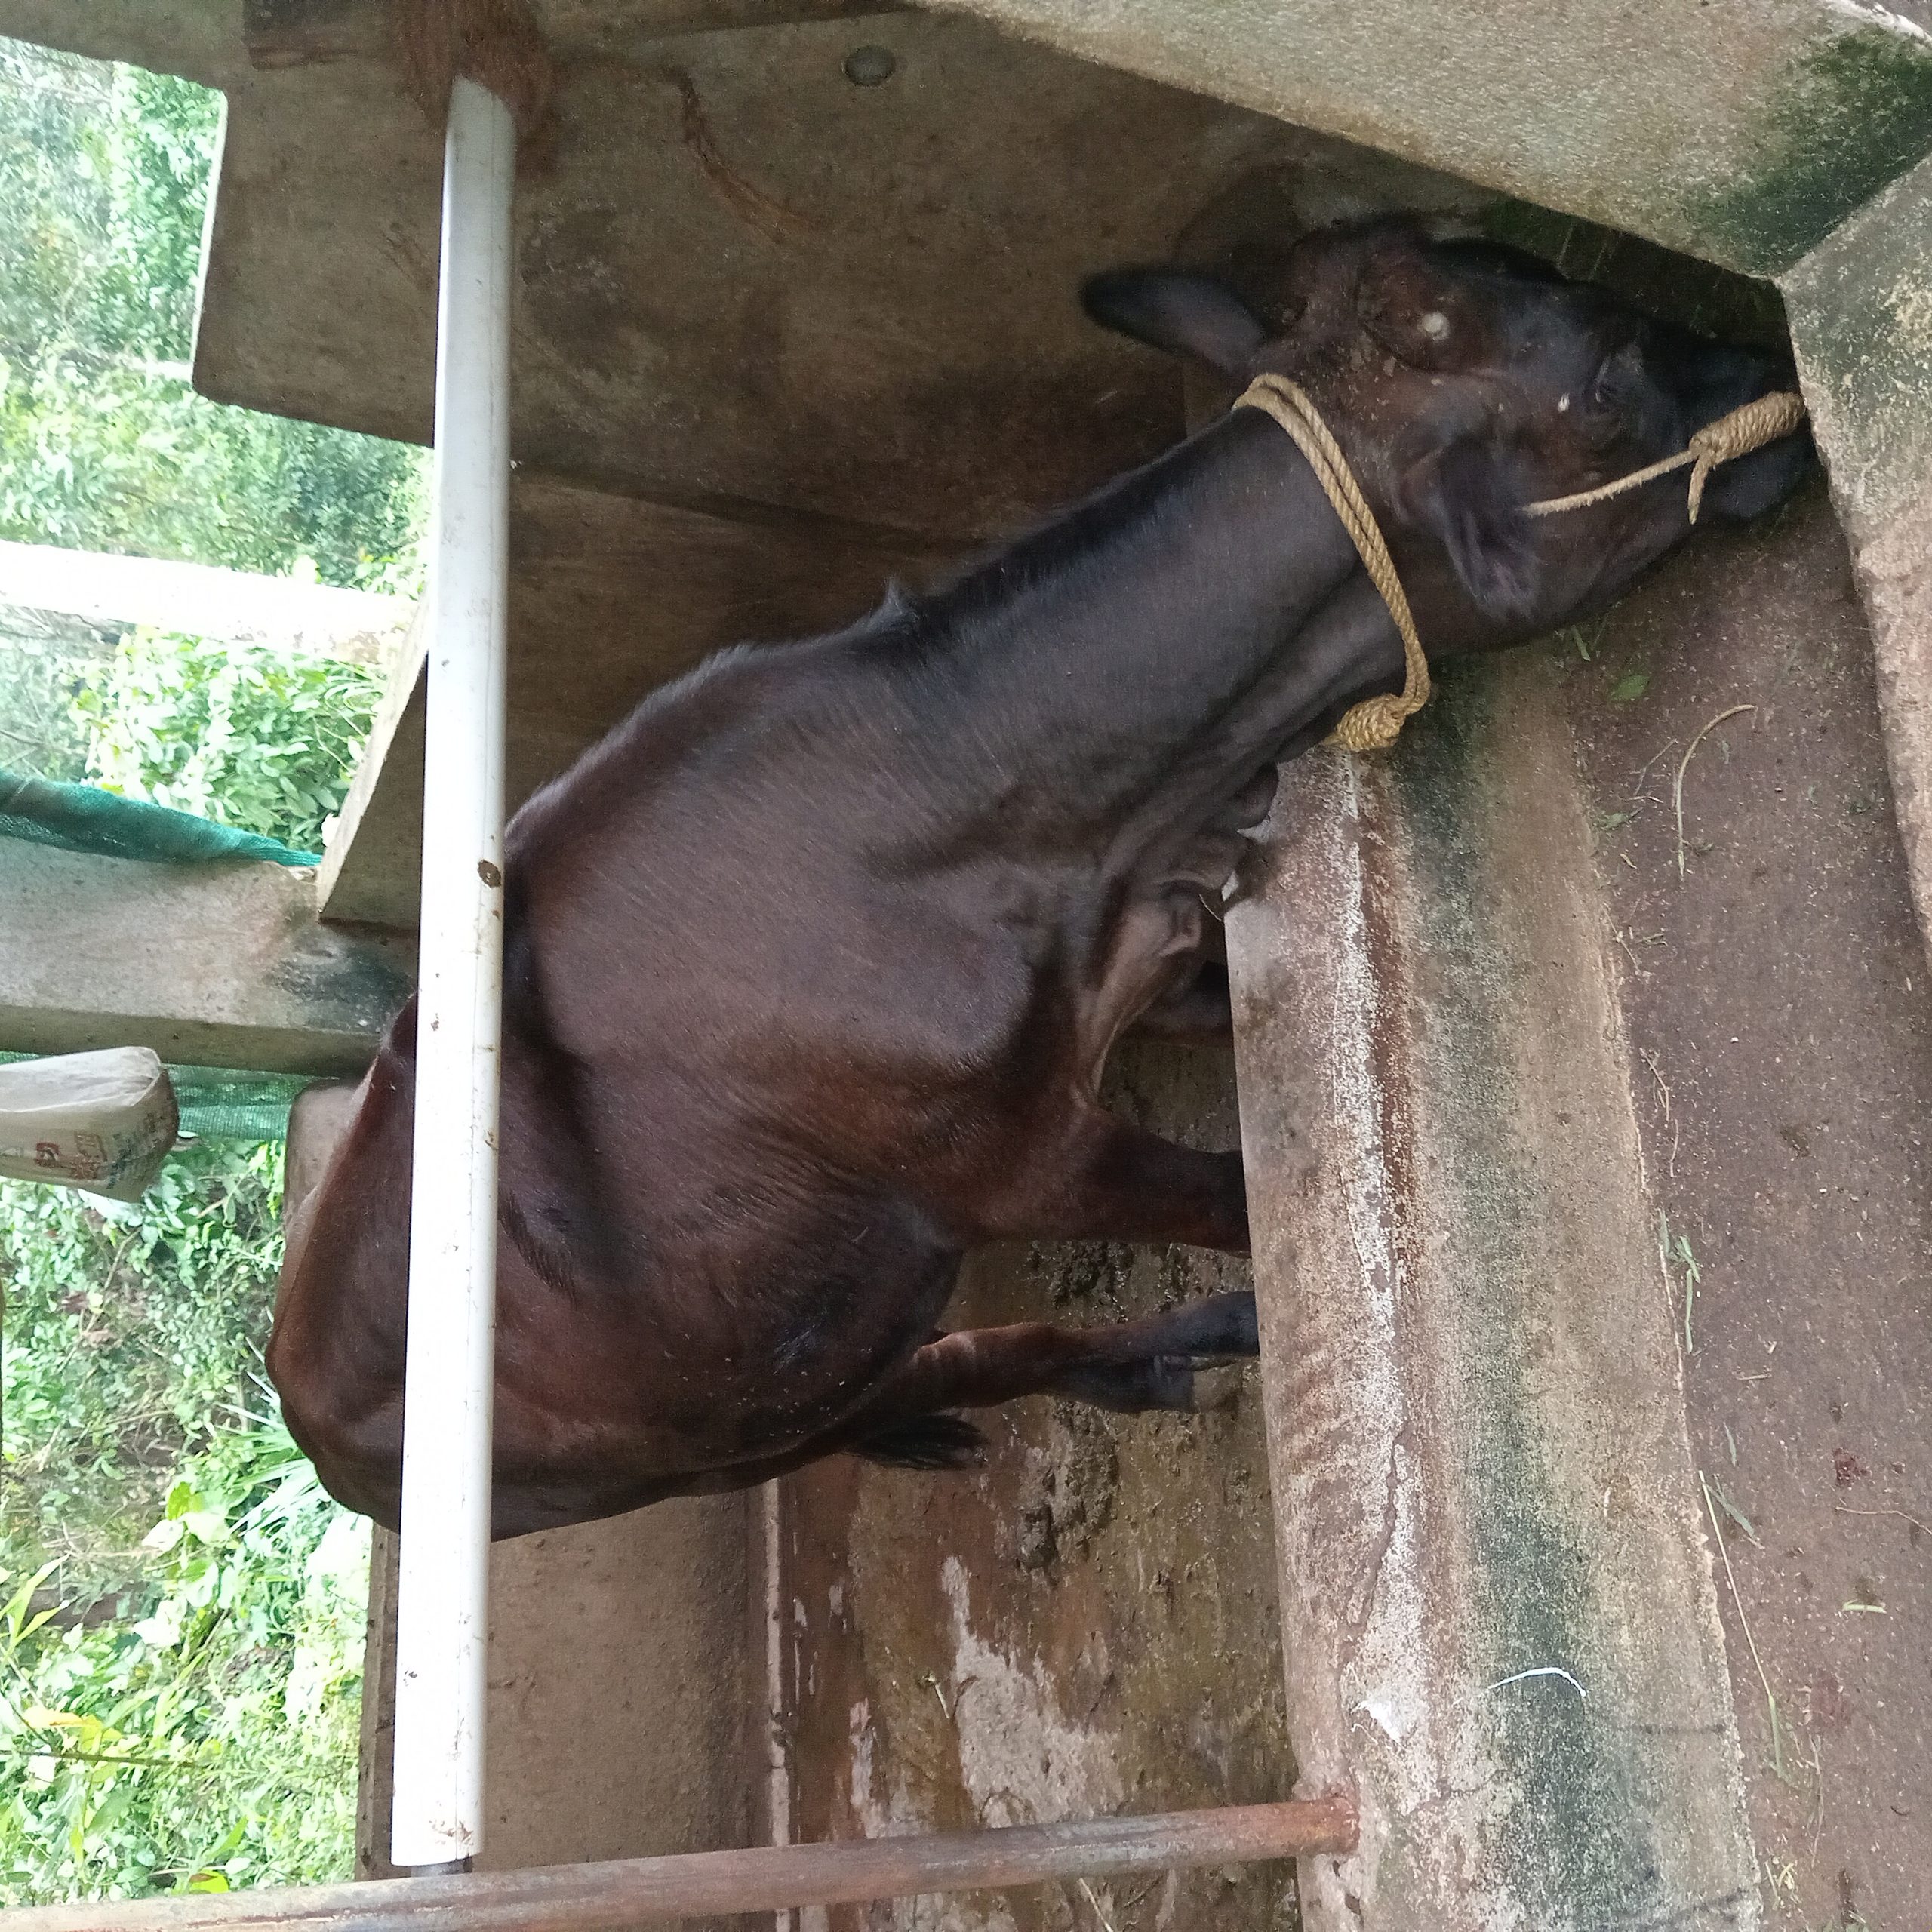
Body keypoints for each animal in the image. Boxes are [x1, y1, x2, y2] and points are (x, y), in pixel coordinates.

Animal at [269, 221, 1813, 1537]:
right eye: (1605, 375)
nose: (1772, 368)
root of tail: (294, 1383)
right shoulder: (1018, 1162)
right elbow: (1226, 1199)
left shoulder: (1145, 944)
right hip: (708, 1436)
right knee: (931, 1374)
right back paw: (1174, 1342)